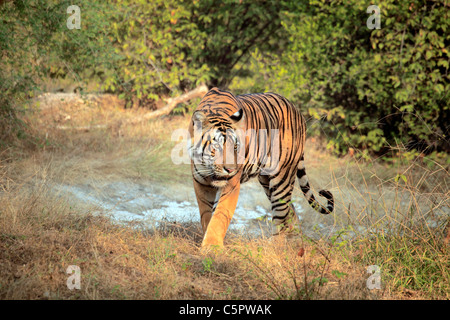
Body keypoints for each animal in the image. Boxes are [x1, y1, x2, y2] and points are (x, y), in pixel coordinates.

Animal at [187, 88, 334, 250]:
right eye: (216, 147)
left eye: (236, 147)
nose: (231, 170)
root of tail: (297, 111)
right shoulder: (201, 183)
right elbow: (206, 214)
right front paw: (207, 241)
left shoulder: (231, 185)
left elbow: (219, 215)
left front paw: (212, 247)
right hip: (266, 180)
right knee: (291, 210)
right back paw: (295, 240)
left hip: (282, 177)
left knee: (281, 213)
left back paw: (275, 245)